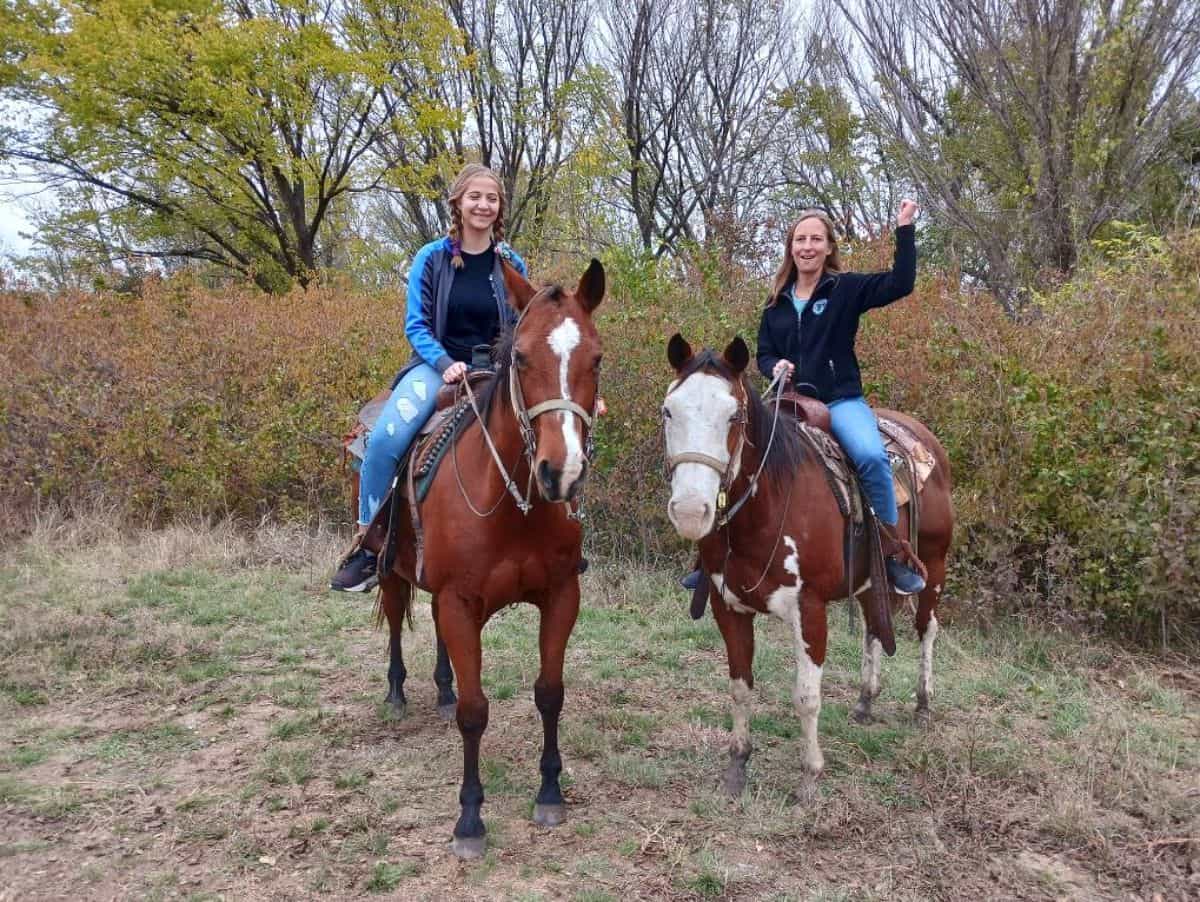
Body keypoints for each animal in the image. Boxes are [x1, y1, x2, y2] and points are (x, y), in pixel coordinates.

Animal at [379, 256, 604, 854]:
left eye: (597, 358)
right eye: (520, 357)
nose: (561, 473)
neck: (512, 506)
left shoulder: (560, 595)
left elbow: (549, 693)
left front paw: (549, 793)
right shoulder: (460, 601)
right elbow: (476, 712)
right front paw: (470, 818)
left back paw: (441, 689)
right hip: (390, 569)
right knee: (395, 619)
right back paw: (397, 691)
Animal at [662, 335, 950, 796]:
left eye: (733, 416)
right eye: (669, 411)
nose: (691, 511)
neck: (767, 506)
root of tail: (924, 437)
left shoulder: (810, 609)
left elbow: (806, 697)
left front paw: (810, 777)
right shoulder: (728, 607)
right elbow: (740, 687)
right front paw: (737, 764)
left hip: (935, 566)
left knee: (927, 628)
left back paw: (923, 704)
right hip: (870, 578)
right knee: (874, 624)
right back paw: (866, 699)